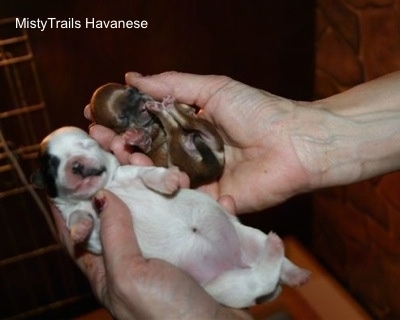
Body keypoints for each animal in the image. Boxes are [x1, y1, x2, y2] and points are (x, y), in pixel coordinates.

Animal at [32, 125, 310, 308]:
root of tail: (242, 262)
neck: (107, 188)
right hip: (223, 287)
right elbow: (78, 216)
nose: (76, 164)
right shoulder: (84, 222)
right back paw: (282, 261)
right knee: (260, 279)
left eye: (88, 145)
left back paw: (290, 265)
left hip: (248, 240)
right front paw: (79, 229)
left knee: (272, 269)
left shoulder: (131, 172)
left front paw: (168, 180)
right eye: (51, 165)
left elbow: (150, 174)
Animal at [88, 83, 223, 188]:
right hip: (178, 158)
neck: (153, 123)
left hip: (208, 131)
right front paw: (139, 138)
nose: (142, 106)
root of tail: (206, 170)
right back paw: (163, 109)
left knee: (186, 124)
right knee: (175, 129)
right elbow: (146, 146)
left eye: (133, 91)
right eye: (123, 118)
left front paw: (186, 108)